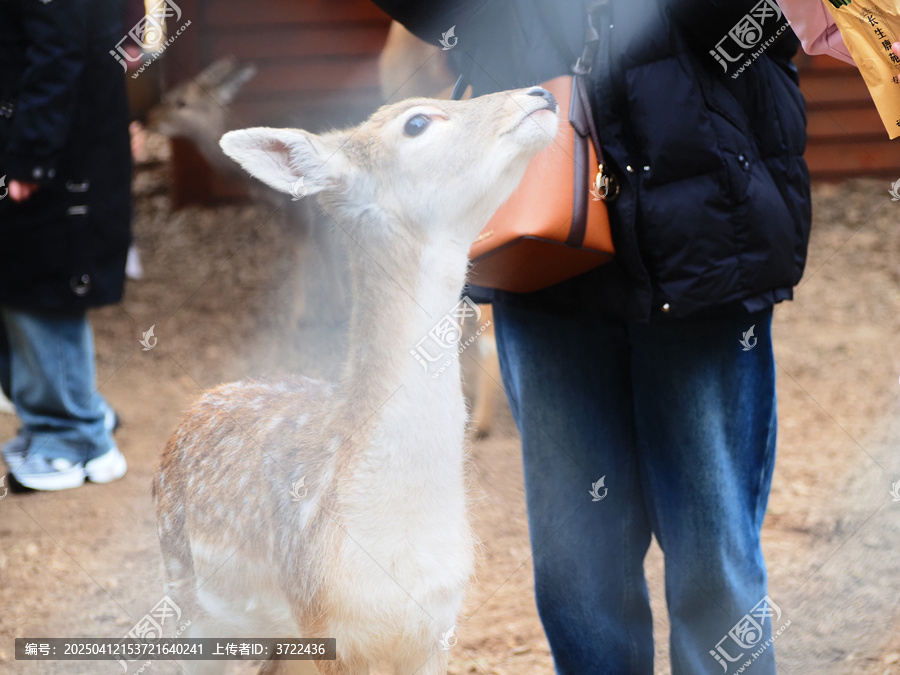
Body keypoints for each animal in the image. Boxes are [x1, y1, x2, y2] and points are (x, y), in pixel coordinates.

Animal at [152, 85, 560, 674]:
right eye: (416, 122)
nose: (541, 93)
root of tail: (199, 403)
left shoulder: (438, 628)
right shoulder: (327, 623)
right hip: (187, 597)